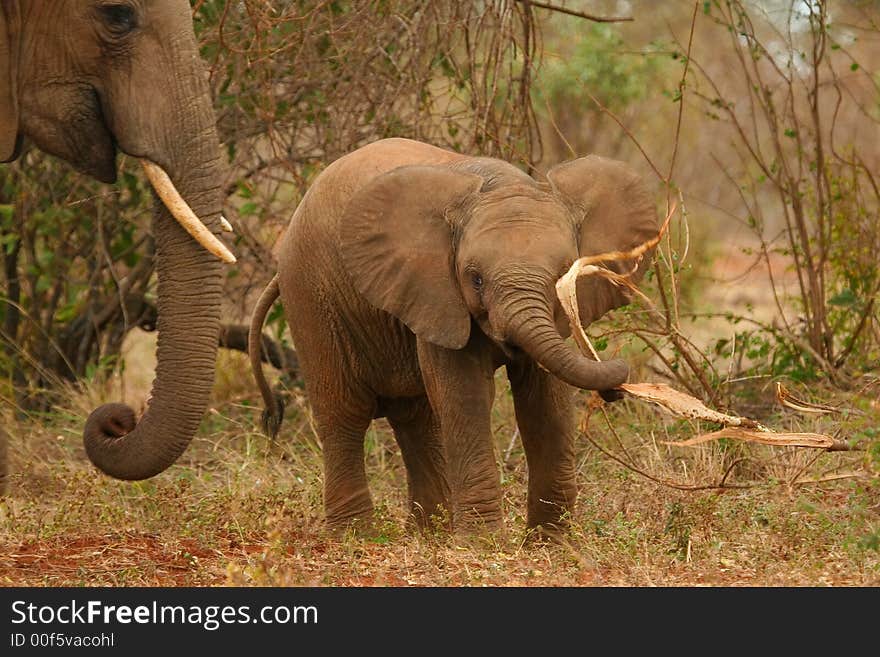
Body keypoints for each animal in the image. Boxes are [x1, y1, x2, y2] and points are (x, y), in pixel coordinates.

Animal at [251, 138, 656, 532]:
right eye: (475, 279)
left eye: (564, 274)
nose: (618, 388)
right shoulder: (438, 291)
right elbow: (466, 395)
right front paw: (481, 543)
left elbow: (546, 398)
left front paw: (551, 543)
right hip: (311, 295)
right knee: (343, 413)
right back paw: (356, 538)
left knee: (416, 418)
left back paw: (430, 534)